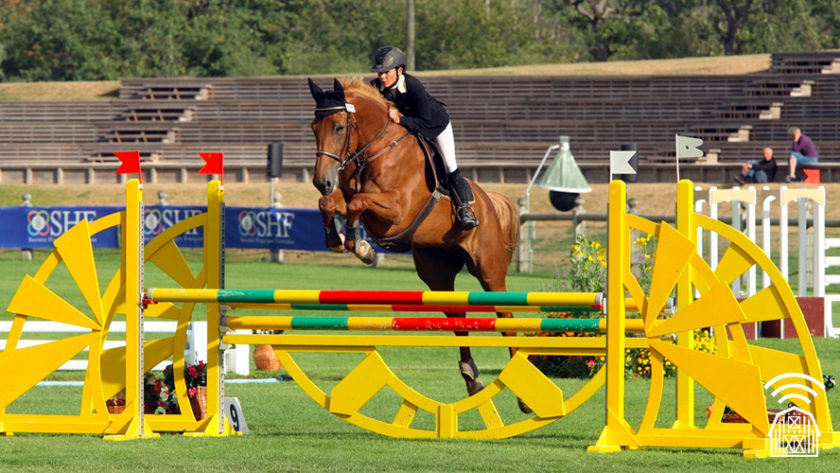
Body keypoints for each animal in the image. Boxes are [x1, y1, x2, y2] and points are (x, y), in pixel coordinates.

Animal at [306, 77, 528, 410]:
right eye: (313, 127)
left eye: (340, 128)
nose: (322, 181)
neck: (376, 149)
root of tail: (490, 200)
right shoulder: (351, 198)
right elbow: (330, 203)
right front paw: (338, 238)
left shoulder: (396, 211)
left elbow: (357, 202)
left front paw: (361, 245)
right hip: (436, 271)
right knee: (457, 317)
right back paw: (471, 378)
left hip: (489, 270)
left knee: (506, 318)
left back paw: (521, 397)